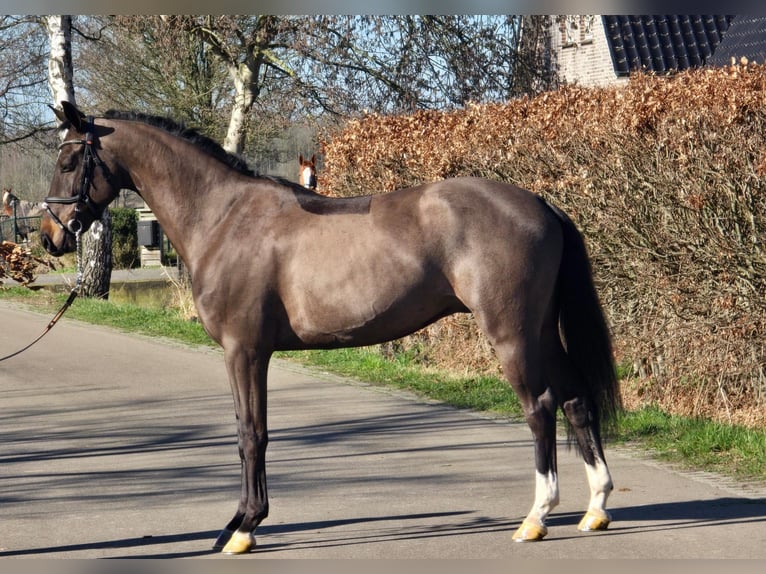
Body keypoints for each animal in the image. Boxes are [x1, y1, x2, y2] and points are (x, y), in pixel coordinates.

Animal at [40, 101, 620, 554]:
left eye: (69, 160)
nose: (50, 235)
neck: (224, 217)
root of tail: (539, 203)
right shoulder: (249, 352)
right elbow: (251, 431)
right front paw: (244, 521)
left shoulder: (243, 351)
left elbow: (251, 433)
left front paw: (243, 527)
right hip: (541, 332)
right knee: (576, 400)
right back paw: (595, 508)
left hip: (512, 335)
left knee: (541, 409)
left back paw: (537, 517)